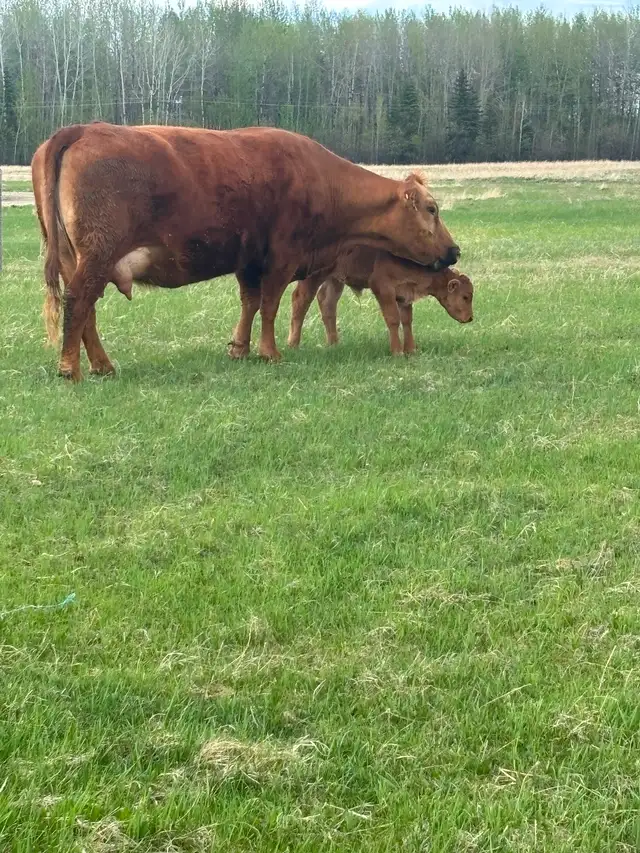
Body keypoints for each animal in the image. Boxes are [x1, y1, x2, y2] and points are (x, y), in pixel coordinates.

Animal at [288, 248, 473, 355]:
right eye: (465, 296)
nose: (470, 318)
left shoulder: (404, 295)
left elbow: (407, 320)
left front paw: (411, 350)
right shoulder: (383, 288)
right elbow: (393, 319)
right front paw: (397, 352)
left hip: (335, 279)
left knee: (327, 303)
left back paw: (334, 344)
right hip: (313, 277)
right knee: (300, 300)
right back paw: (293, 344)